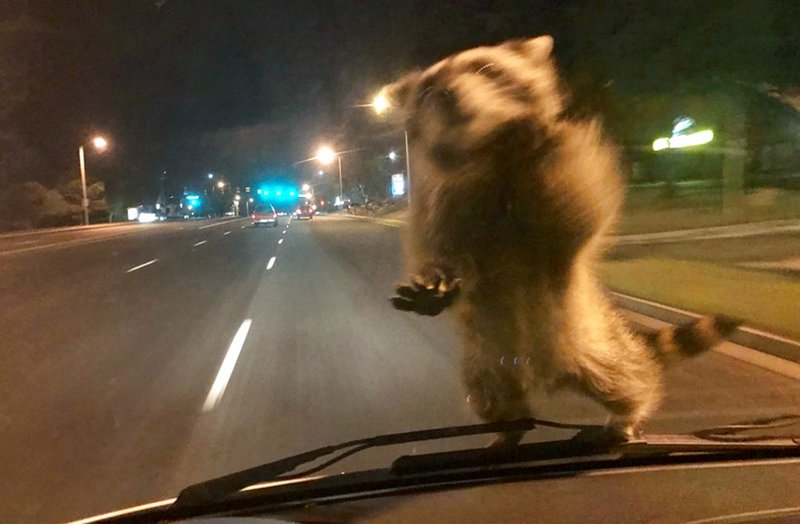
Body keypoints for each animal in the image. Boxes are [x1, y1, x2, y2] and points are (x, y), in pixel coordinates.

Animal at [384, 35, 740, 442]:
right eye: (428, 88)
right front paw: (434, 280)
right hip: (485, 364)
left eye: (485, 68)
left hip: (593, 343)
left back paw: (628, 413)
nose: (446, 93)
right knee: (491, 398)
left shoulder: (566, 173)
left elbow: (577, 208)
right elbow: (439, 251)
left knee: (624, 378)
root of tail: (547, 378)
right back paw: (507, 431)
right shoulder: (440, 202)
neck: (486, 151)